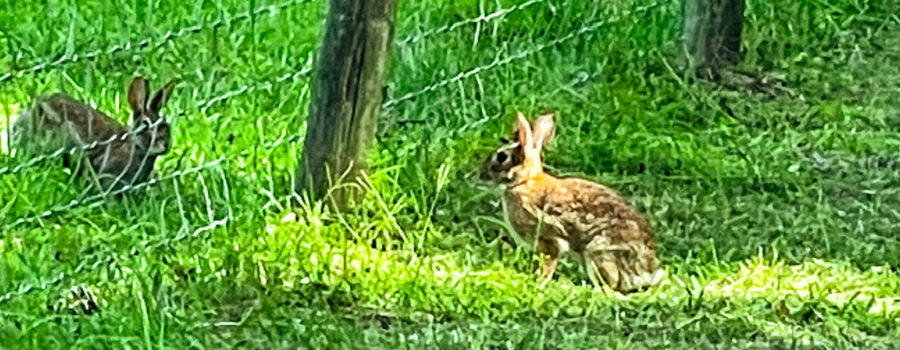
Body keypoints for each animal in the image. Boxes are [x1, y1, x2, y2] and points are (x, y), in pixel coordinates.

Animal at [482, 113, 664, 292]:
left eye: (501, 157)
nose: (481, 174)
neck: (525, 181)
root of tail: (647, 273)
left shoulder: (548, 239)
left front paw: (538, 283)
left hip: (597, 251)